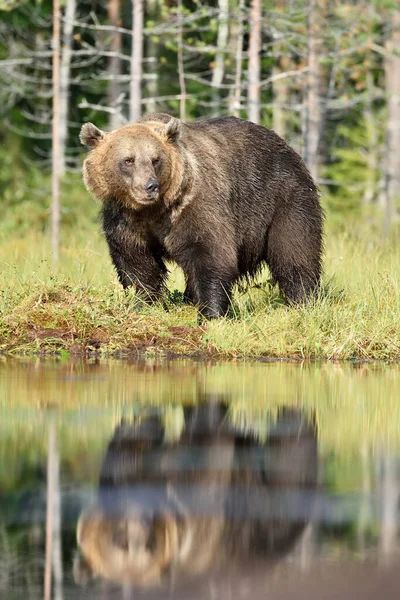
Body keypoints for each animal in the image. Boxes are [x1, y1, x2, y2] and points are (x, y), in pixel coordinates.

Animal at [79, 113, 324, 318]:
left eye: (155, 159)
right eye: (128, 160)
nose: (150, 186)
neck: (153, 210)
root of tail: (286, 145)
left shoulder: (194, 206)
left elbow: (210, 254)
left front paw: (211, 313)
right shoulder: (125, 219)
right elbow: (136, 261)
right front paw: (144, 302)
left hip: (283, 198)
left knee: (294, 251)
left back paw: (302, 300)